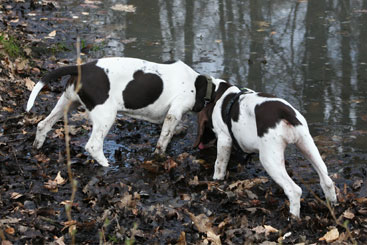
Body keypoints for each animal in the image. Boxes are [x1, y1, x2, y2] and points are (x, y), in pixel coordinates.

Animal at [26, 57, 216, 167]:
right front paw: (159, 155)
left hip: (67, 102)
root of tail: (82, 68)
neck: (201, 86)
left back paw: (37, 145)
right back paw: (106, 165)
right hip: (106, 115)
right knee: (93, 145)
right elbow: (164, 138)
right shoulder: (174, 113)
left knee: (43, 124)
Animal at [194, 78, 338, 216]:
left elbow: (219, 164)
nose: (201, 146)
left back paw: (293, 218)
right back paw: (333, 205)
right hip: (307, 145)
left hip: (269, 160)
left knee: (294, 190)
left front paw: (216, 180)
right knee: (327, 180)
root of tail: (284, 112)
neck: (220, 94)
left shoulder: (224, 139)